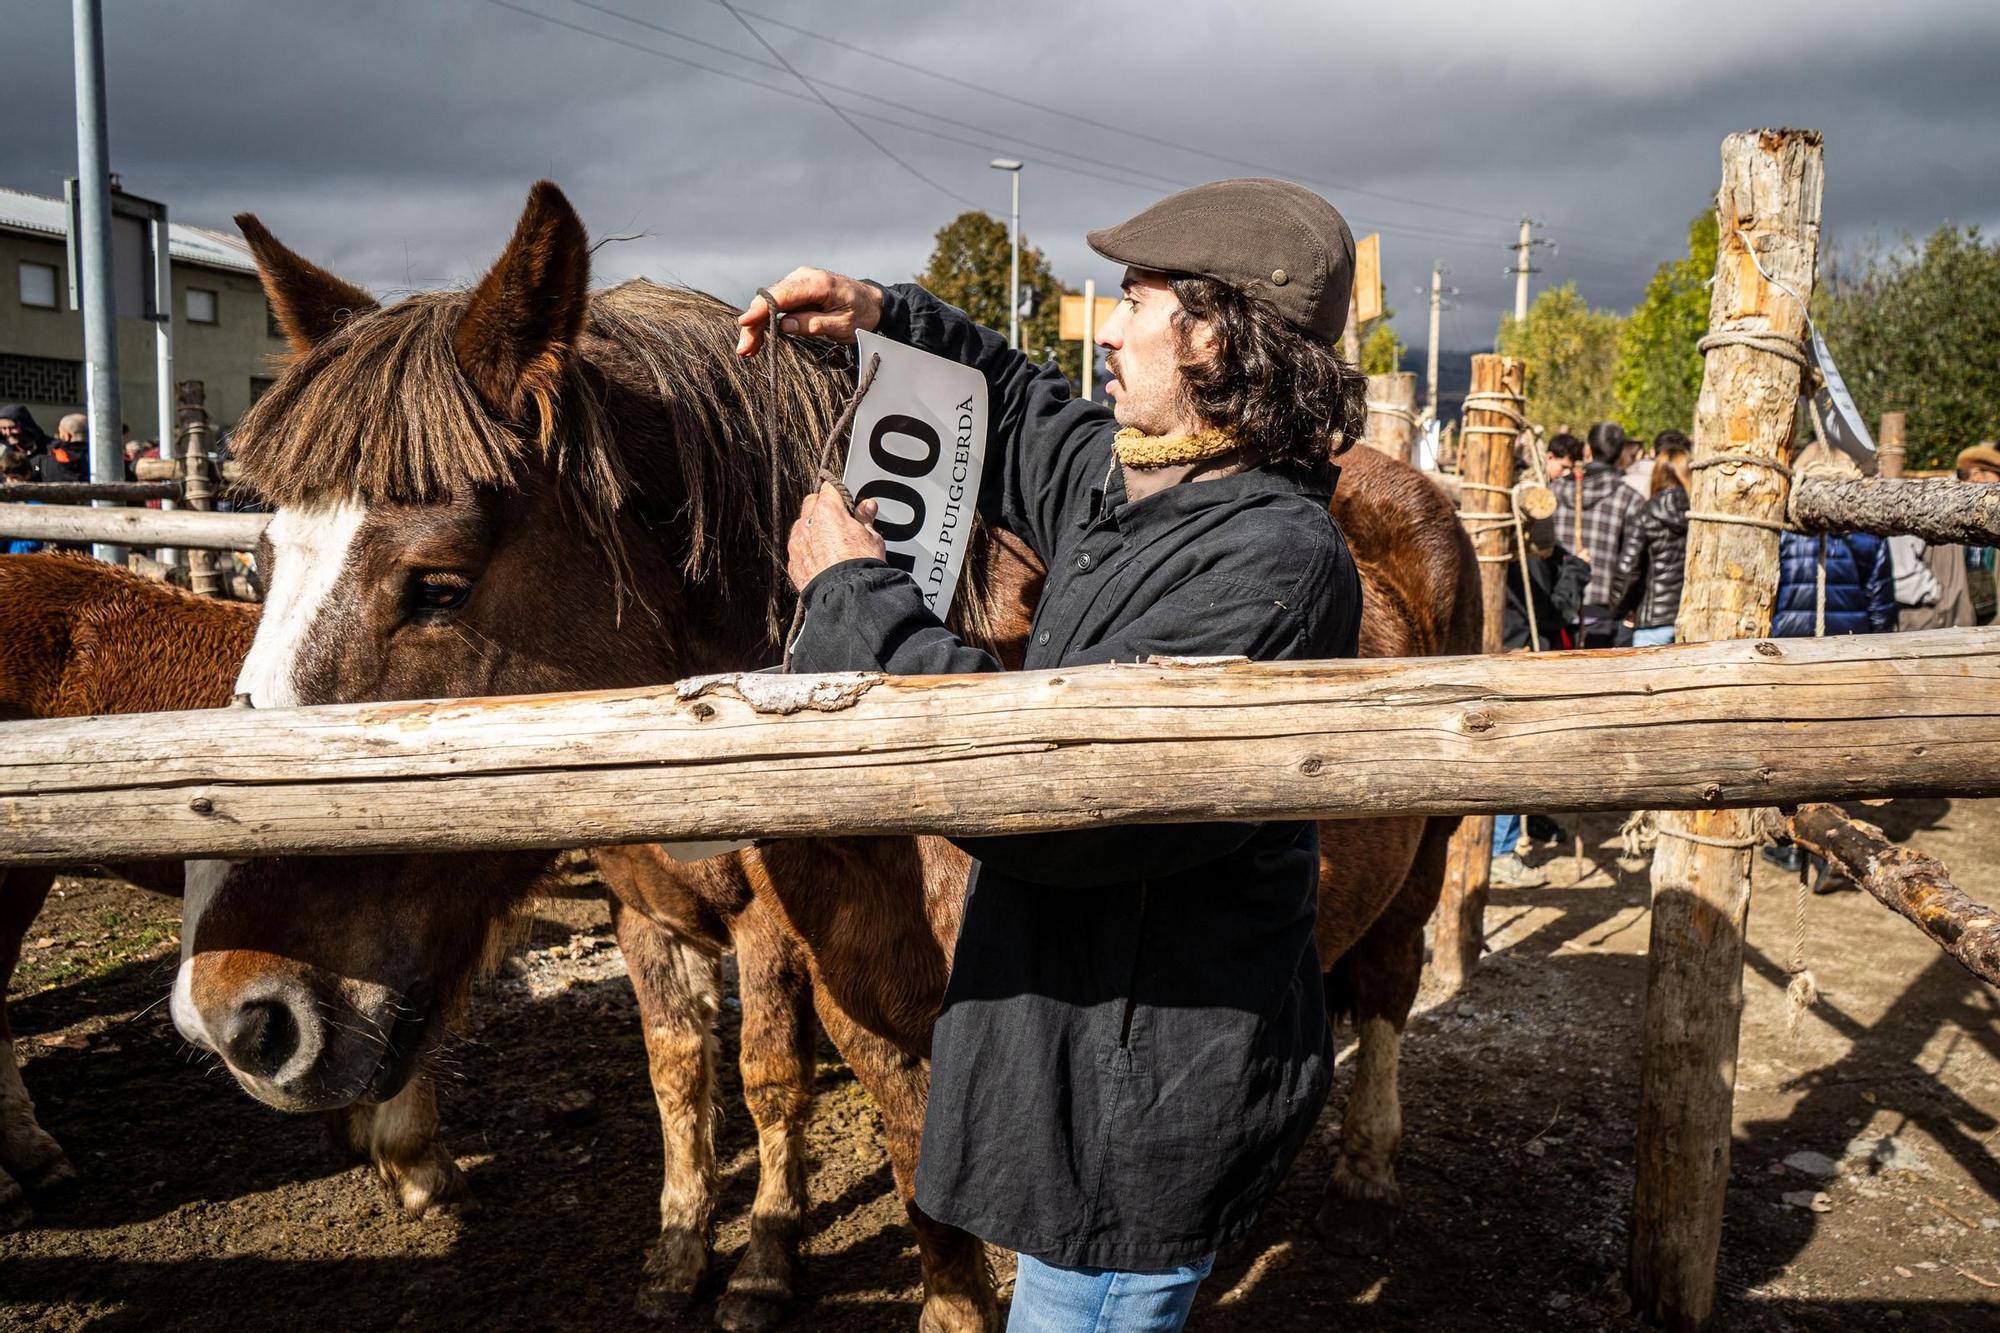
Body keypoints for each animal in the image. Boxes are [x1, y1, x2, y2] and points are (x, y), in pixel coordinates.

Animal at [172, 182, 1480, 1320]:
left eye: (436, 585)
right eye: (266, 555)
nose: (241, 1013)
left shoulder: (783, 943)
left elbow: (770, 1081)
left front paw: (757, 1269)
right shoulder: (787, 972)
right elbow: (780, 1123)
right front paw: (692, 1254)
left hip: (1424, 857)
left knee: (1386, 990)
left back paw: (1365, 1161)